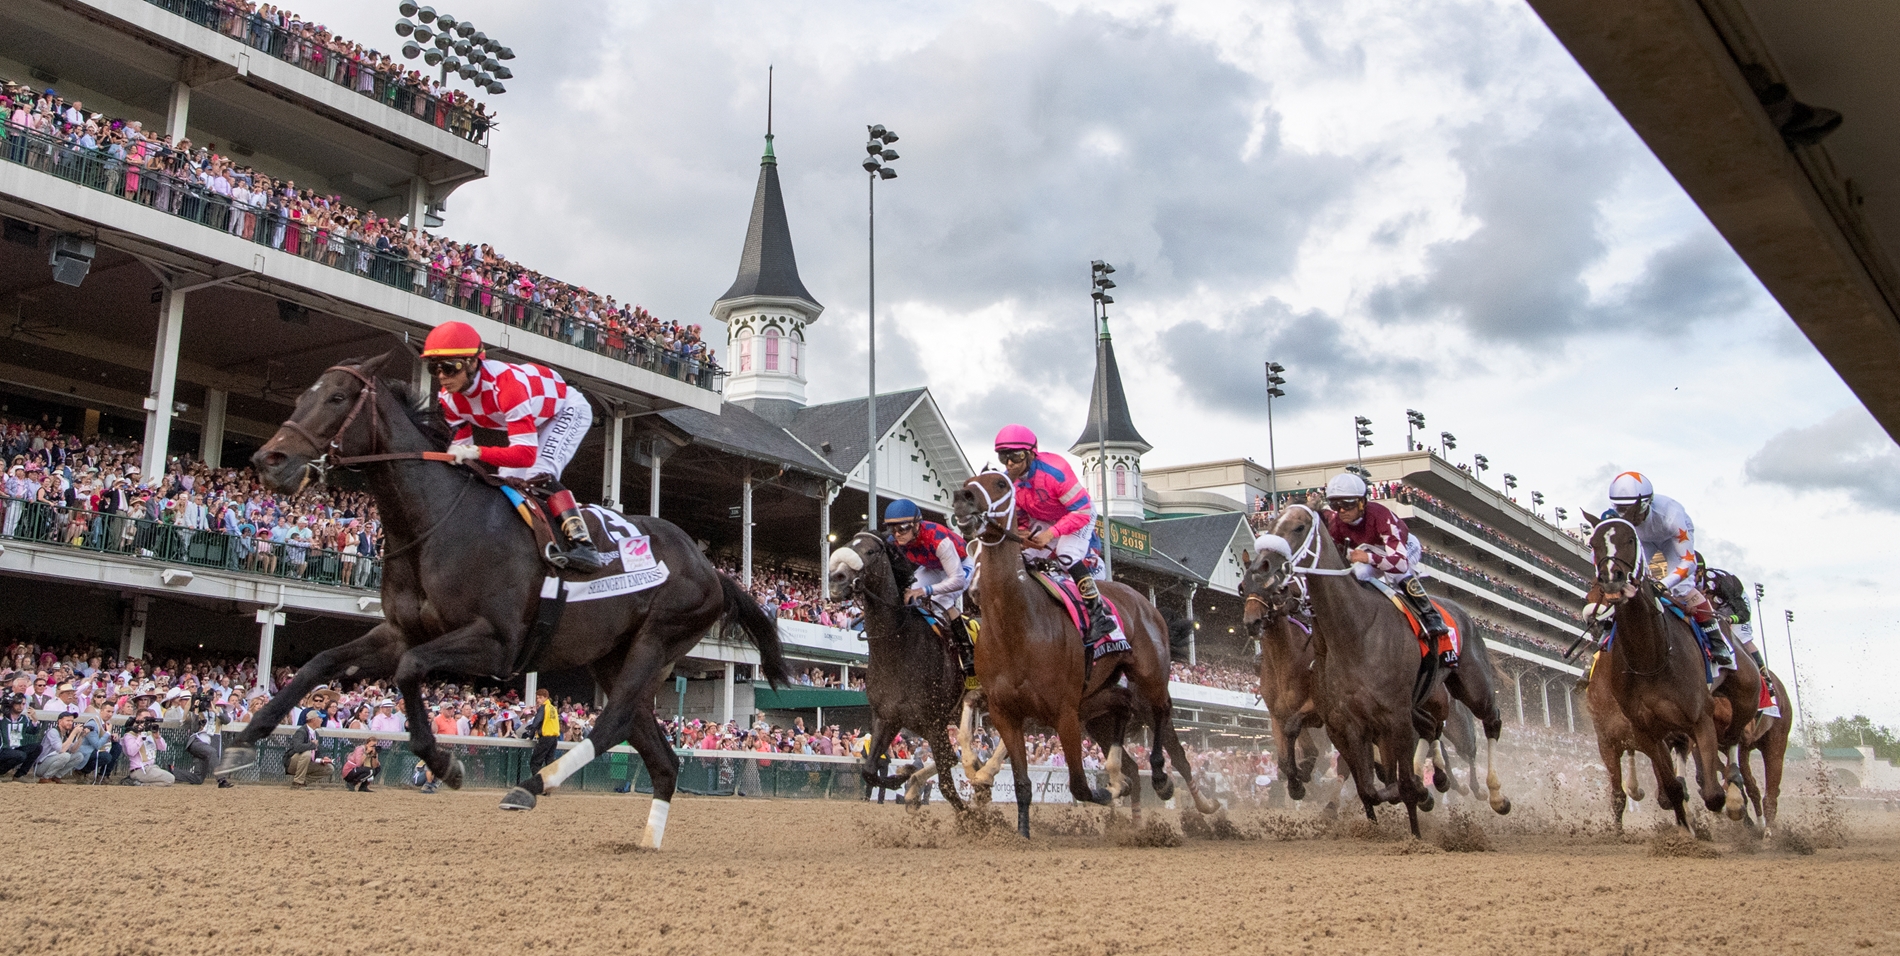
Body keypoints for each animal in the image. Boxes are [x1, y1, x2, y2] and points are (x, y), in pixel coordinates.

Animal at [950, 471, 1216, 836]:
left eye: (1001, 484)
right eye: (969, 481)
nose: (962, 499)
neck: (1016, 624)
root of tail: (1146, 603)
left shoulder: (1063, 712)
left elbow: (1080, 785)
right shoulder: (1007, 709)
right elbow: (1021, 782)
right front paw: (1019, 829)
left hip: (1149, 683)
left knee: (1171, 740)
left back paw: (1182, 791)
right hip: (1097, 710)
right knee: (1126, 725)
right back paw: (1135, 818)